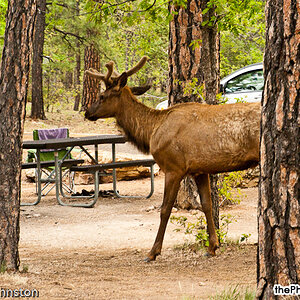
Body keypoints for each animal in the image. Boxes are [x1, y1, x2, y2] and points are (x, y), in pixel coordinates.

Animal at [84, 56, 260, 262]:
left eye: (102, 96)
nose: (87, 111)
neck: (151, 131)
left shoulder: (173, 167)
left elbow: (165, 209)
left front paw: (153, 252)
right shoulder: (200, 170)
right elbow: (207, 205)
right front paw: (212, 247)